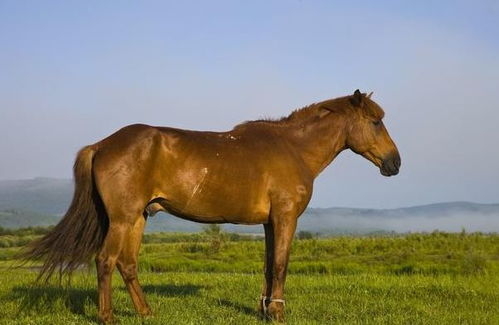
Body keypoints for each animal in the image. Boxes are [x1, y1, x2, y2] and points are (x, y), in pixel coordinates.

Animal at [23, 88, 402, 322]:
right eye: (375, 122)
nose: (395, 163)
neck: (293, 149)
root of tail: (102, 144)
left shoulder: (269, 222)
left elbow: (269, 266)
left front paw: (264, 310)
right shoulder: (285, 217)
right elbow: (281, 265)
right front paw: (278, 313)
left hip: (137, 218)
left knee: (127, 264)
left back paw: (147, 313)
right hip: (122, 218)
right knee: (105, 261)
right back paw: (108, 317)